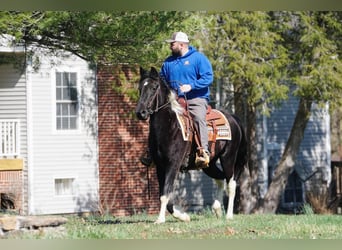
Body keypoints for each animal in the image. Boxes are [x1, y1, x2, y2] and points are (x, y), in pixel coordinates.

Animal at [135, 66, 247, 223]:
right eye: (140, 88)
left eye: (154, 87)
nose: (141, 113)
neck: (170, 126)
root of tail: (233, 118)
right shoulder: (160, 166)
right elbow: (164, 196)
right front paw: (184, 216)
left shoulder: (173, 164)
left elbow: (165, 194)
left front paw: (160, 220)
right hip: (209, 164)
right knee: (220, 178)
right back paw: (217, 210)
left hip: (228, 158)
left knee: (231, 183)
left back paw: (229, 215)